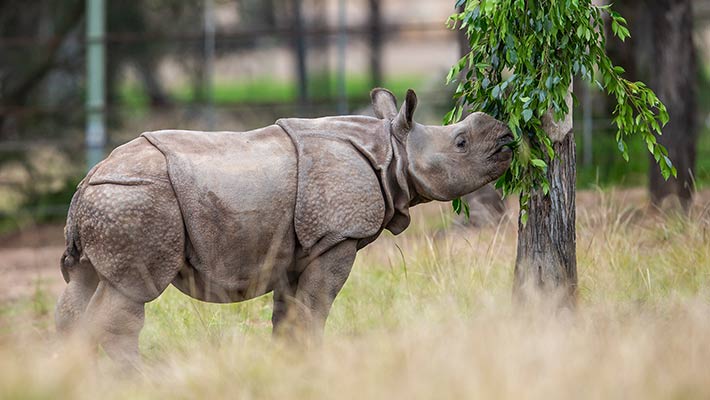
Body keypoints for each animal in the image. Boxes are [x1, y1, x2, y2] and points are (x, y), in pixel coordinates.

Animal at [55, 88, 513, 366]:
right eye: (461, 144)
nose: (508, 137)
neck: (391, 150)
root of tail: (86, 184)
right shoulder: (337, 237)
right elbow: (316, 305)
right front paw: (314, 361)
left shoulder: (299, 245)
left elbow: (289, 311)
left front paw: (288, 364)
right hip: (137, 201)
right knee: (131, 291)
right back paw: (137, 378)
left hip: (113, 202)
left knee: (83, 285)